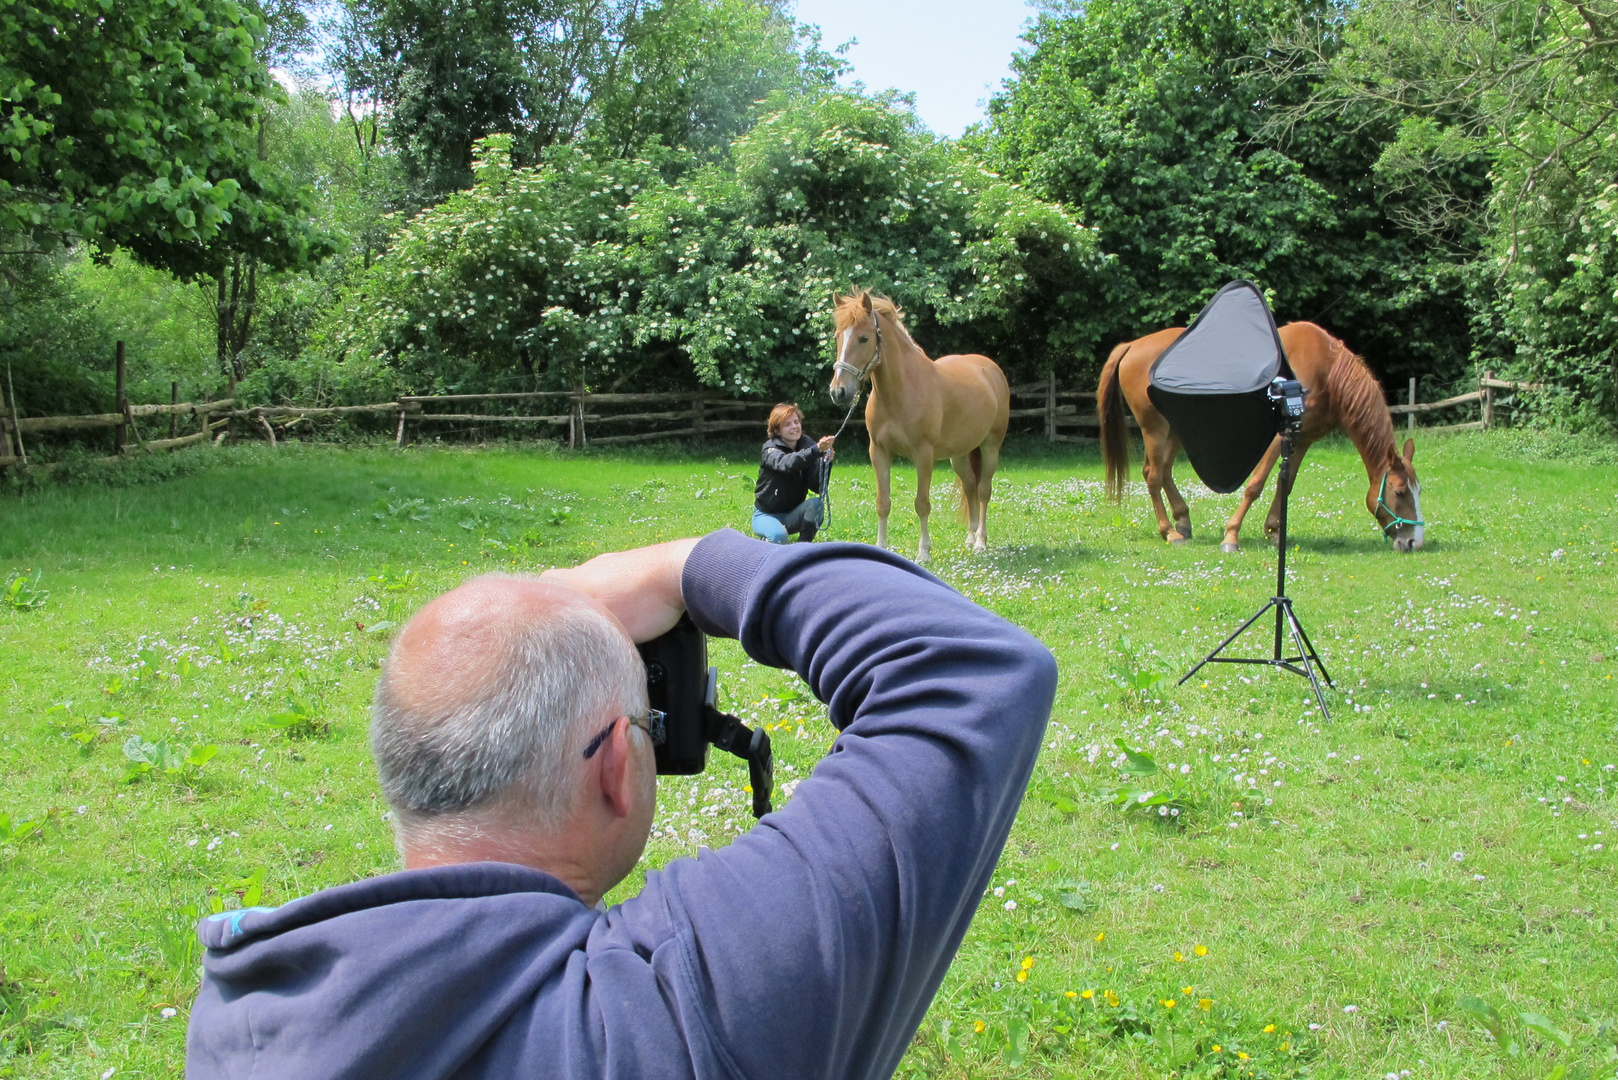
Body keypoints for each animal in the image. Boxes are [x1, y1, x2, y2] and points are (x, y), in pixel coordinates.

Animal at [828, 291, 1003, 563]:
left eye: (864, 338)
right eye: (838, 336)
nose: (839, 392)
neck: (901, 392)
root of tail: (989, 369)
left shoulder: (923, 455)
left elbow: (922, 504)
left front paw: (923, 553)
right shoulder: (878, 452)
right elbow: (882, 502)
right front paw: (881, 546)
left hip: (991, 446)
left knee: (984, 490)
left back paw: (980, 542)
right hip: (960, 456)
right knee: (970, 488)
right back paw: (970, 537)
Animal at [1093, 320, 1423, 553]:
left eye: (1418, 490)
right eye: (1399, 492)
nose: (1414, 542)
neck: (1326, 370)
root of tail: (1133, 345)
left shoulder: (1303, 438)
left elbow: (1285, 485)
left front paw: (1275, 531)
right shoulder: (1278, 436)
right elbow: (1256, 484)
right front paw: (1231, 536)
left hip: (1174, 431)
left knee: (1161, 472)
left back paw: (1182, 521)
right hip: (1156, 428)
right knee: (1153, 475)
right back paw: (1170, 532)